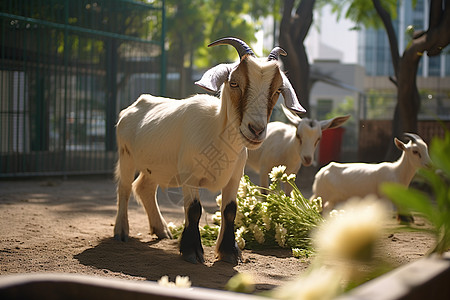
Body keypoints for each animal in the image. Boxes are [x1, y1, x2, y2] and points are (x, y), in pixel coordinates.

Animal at [112, 38, 304, 264]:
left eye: (276, 90)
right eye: (234, 83)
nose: (256, 130)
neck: (218, 136)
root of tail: (132, 107)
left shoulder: (234, 177)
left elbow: (230, 210)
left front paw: (229, 252)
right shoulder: (189, 175)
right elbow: (194, 209)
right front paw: (192, 251)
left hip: (156, 167)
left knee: (144, 188)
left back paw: (162, 230)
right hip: (126, 156)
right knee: (124, 188)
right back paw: (121, 232)